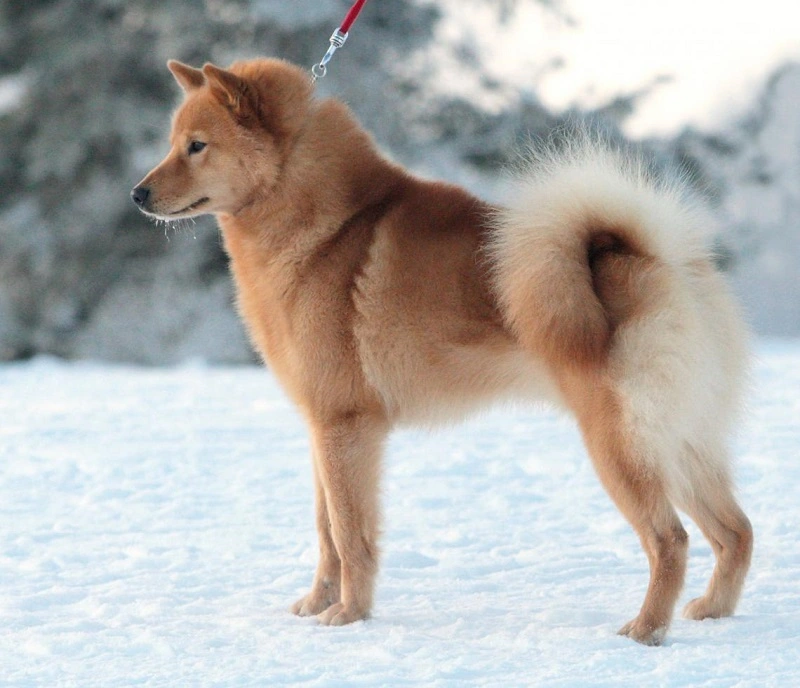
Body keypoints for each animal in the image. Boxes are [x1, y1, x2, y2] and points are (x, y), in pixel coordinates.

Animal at [130, 57, 752, 644]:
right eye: (172, 141)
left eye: (196, 145)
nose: (137, 194)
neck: (327, 223)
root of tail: (654, 256)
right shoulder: (321, 428)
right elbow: (326, 531)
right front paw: (318, 603)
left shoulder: (346, 427)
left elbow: (351, 535)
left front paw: (349, 615)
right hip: (682, 444)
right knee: (737, 533)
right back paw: (713, 612)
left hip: (619, 446)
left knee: (671, 540)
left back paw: (646, 630)